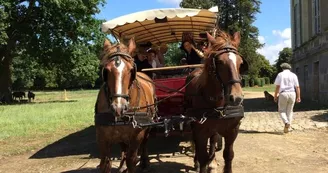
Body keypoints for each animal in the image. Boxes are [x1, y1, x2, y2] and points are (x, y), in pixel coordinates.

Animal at [95, 38, 156, 173]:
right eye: (106, 70)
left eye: (131, 70)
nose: (118, 108)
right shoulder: (102, 137)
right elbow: (105, 164)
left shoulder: (137, 135)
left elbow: (131, 160)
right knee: (123, 145)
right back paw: (122, 165)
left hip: (148, 125)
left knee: (145, 142)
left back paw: (145, 162)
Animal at [184, 30, 249, 173]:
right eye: (219, 62)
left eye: (241, 63)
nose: (236, 98)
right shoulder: (200, 131)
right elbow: (202, 157)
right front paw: (201, 162)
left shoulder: (233, 130)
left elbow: (228, 155)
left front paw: (214, 161)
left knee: (213, 140)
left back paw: (212, 161)